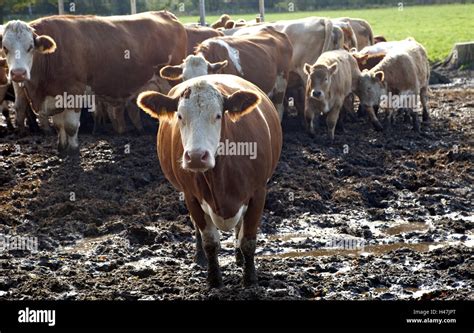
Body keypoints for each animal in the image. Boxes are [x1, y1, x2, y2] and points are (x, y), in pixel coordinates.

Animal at [0, 10, 187, 154]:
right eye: (5, 48)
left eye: (30, 47)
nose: (18, 73)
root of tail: (165, 13)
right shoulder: (55, 95)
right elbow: (59, 125)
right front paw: (62, 147)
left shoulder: (74, 90)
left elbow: (70, 125)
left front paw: (73, 149)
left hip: (170, 81)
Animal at [139, 74, 284, 286]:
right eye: (180, 116)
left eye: (218, 115)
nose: (196, 156)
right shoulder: (191, 196)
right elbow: (210, 242)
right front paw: (214, 279)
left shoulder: (258, 192)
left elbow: (248, 240)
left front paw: (250, 279)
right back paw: (200, 257)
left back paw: (239, 258)